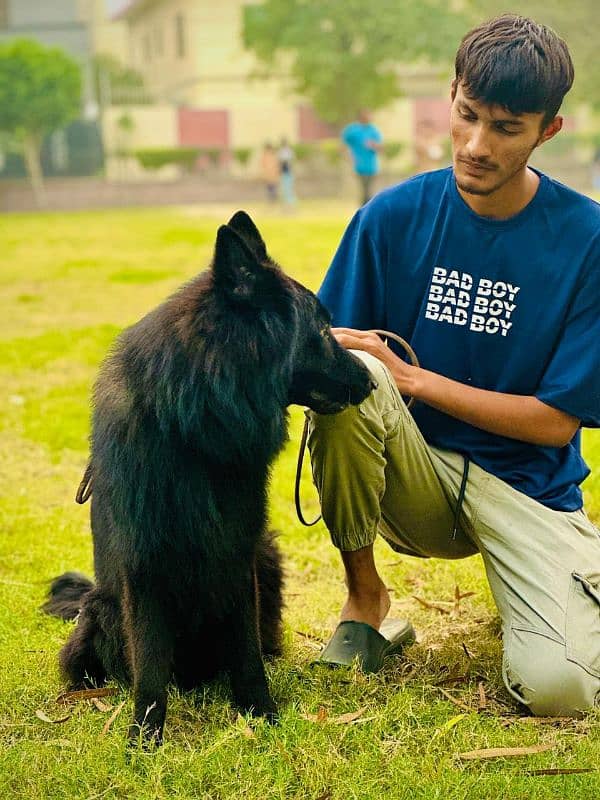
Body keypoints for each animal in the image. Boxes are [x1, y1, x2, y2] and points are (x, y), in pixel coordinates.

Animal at [44, 211, 376, 744]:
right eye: (323, 330)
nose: (370, 382)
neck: (194, 426)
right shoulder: (145, 569)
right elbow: (150, 667)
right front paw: (145, 738)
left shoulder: (237, 556)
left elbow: (245, 651)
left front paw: (261, 715)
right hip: (102, 613)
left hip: (266, 560)